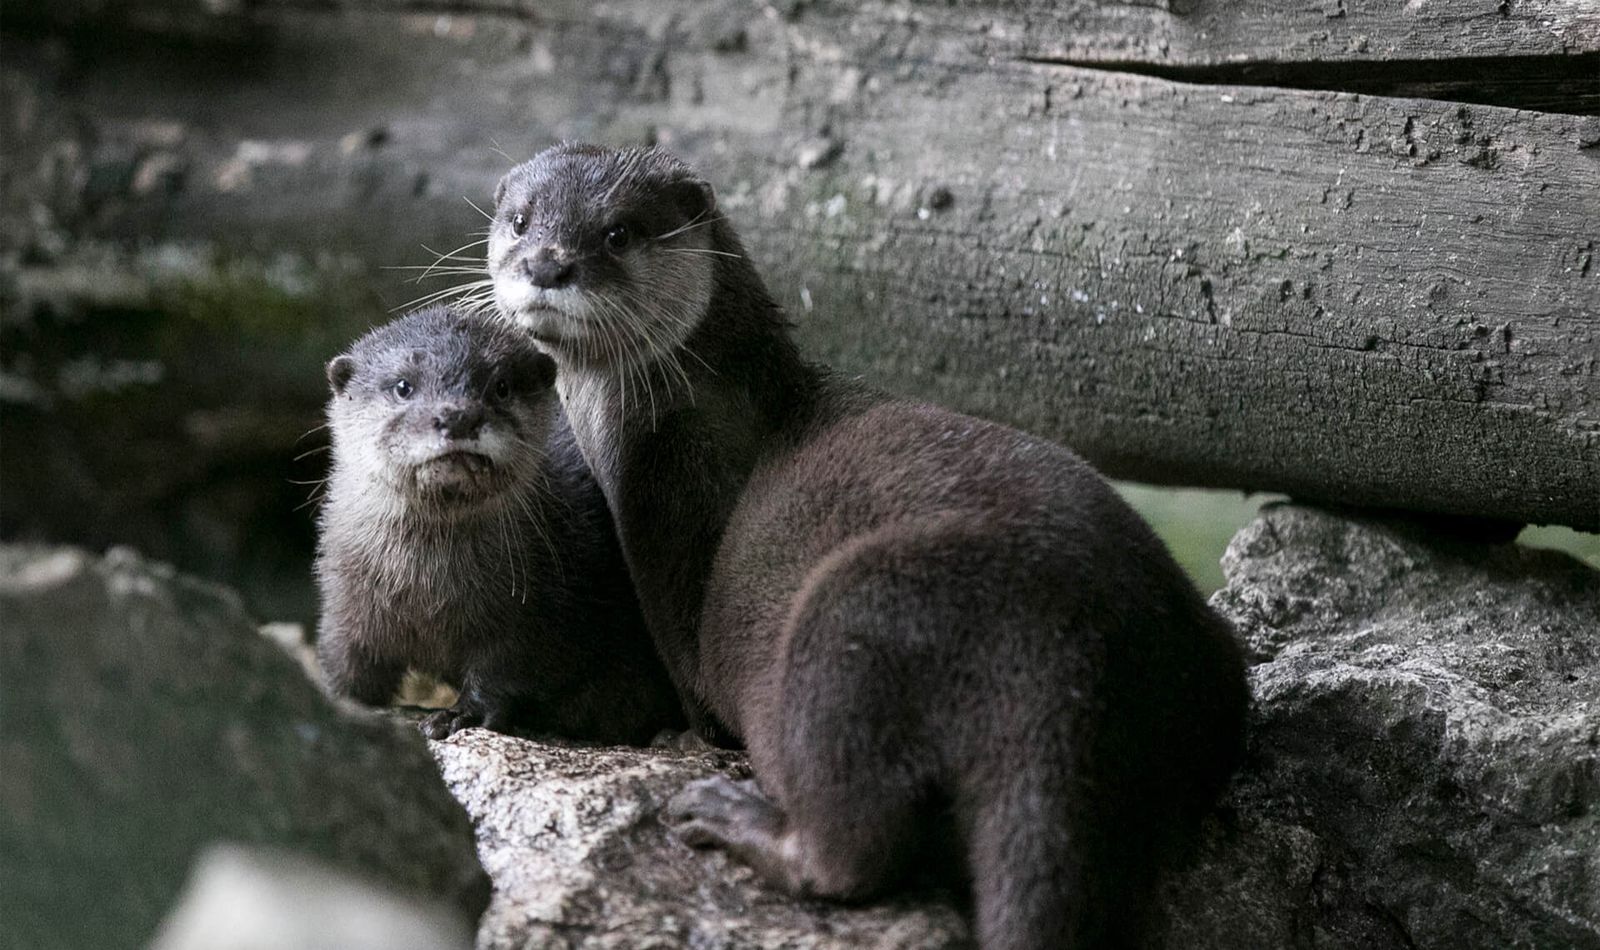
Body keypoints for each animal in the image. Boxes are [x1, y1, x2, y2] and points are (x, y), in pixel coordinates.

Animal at [312, 303, 681, 738]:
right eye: (403, 386)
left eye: (501, 386)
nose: (457, 416)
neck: (429, 592)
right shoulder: (344, 598)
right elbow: (345, 661)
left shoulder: (533, 612)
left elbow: (504, 670)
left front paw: (458, 714)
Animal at [486, 146, 1248, 946]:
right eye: (520, 220)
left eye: (619, 233)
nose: (546, 263)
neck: (672, 422)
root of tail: (1073, 676)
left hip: (853, 625)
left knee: (847, 848)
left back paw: (729, 816)